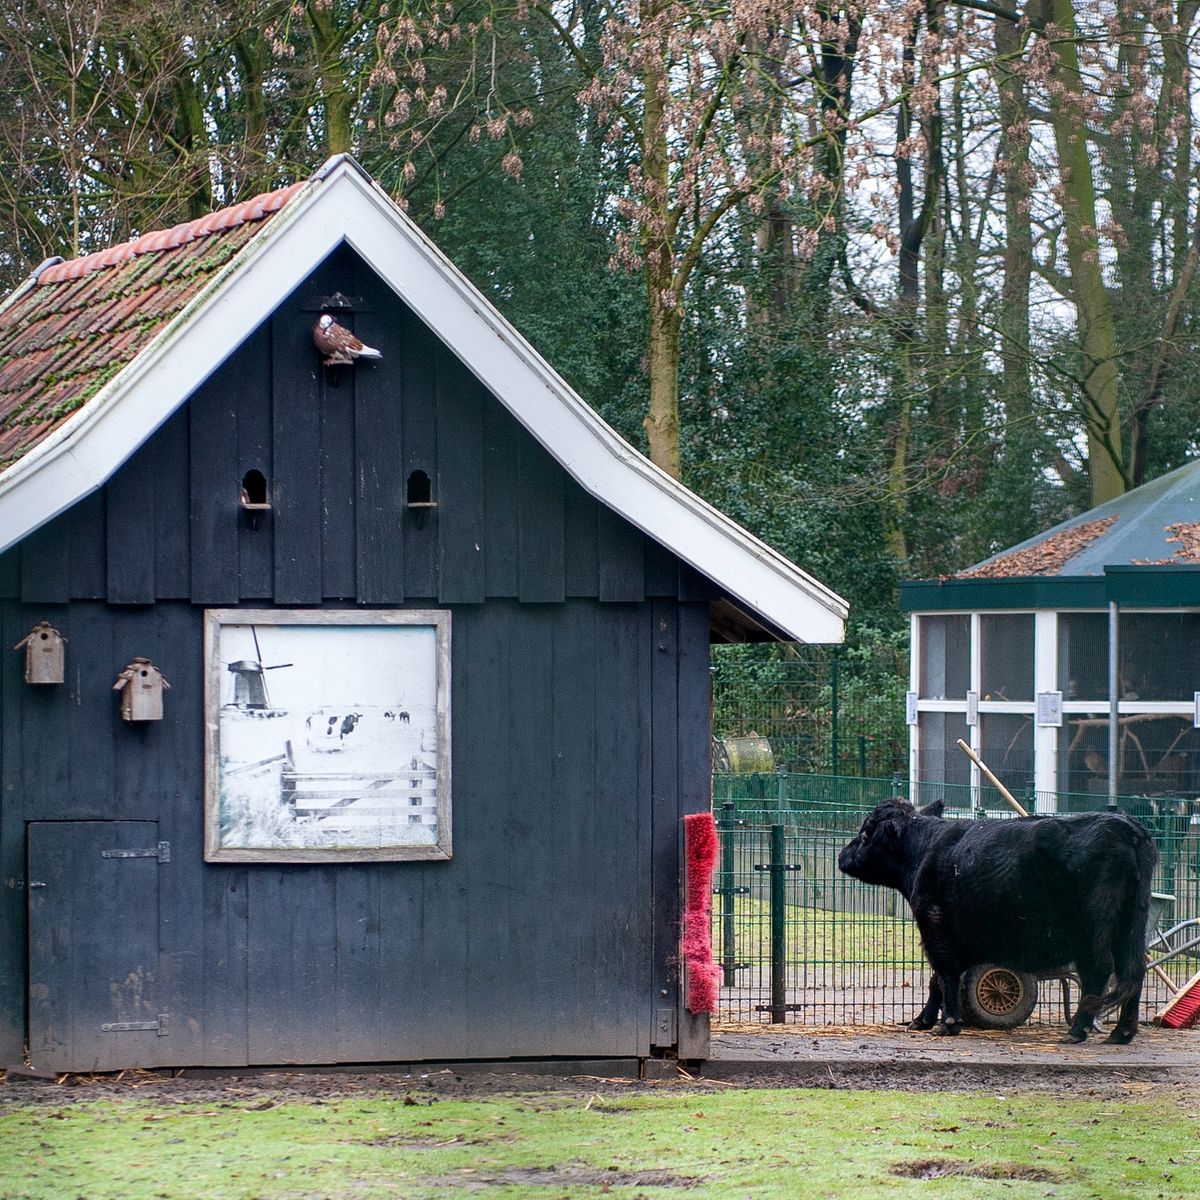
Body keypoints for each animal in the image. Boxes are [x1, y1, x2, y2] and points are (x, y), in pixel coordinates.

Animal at [840, 801, 1156, 1046]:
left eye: (865, 834)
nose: (842, 856)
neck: (927, 849)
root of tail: (1127, 826)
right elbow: (937, 979)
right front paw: (923, 1020)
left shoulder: (933, 921)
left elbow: (944, 974)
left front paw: (948, 1023)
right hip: (1131, 925)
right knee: (1134, 969)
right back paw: (1122, 1032)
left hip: (1093, 931)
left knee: (1099, 971)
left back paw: (1077, 1031)